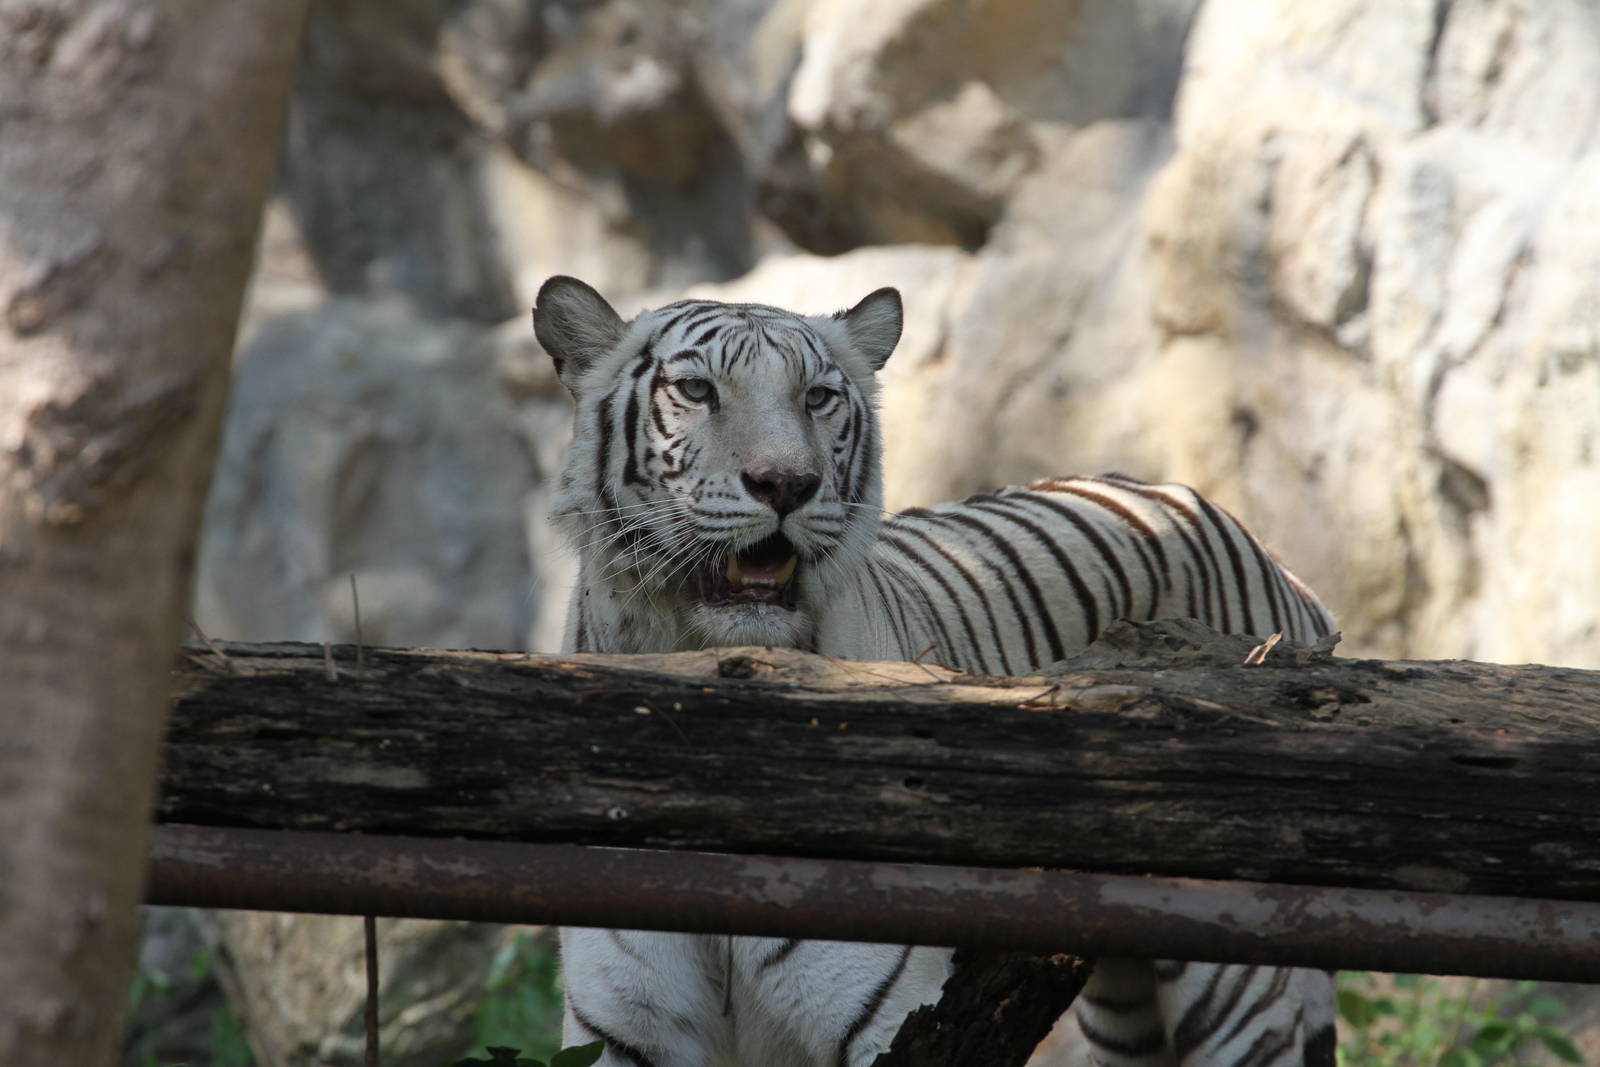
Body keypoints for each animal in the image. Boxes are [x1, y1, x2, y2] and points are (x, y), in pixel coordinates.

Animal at [533, 274, 1339, 1067]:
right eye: (697, 390)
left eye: (816, 398)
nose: (786, 483)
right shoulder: (626, 1031)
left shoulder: (888, 1016)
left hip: (1231, 989)